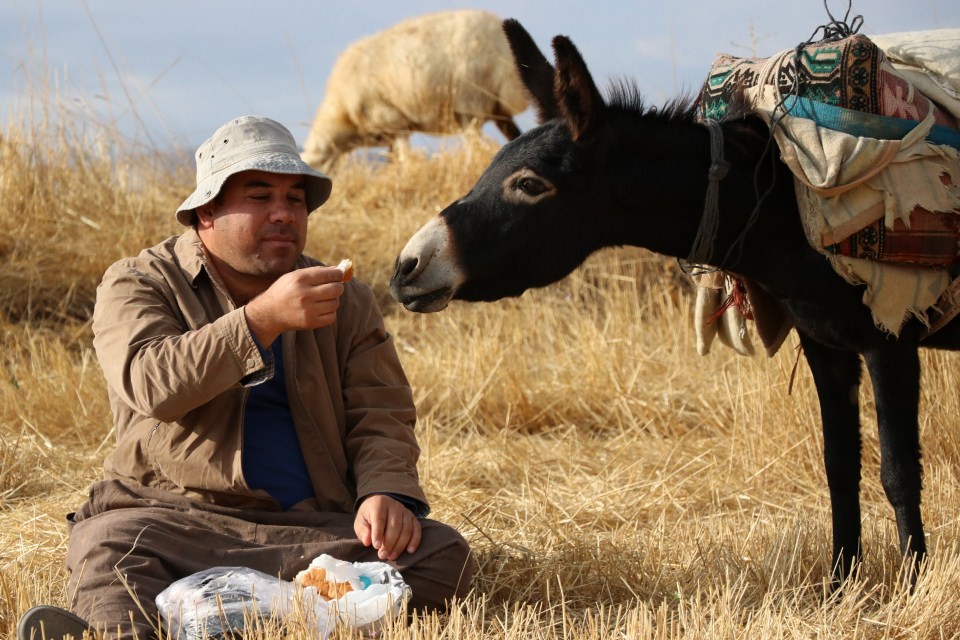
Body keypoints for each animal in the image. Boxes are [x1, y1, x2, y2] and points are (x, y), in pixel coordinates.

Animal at [300, 10, 528, 170]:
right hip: (496, 110)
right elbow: (392, 159)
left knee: (475, 144)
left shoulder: (394, 120)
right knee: (514, 135)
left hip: (470, 103)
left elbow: (403, 157)